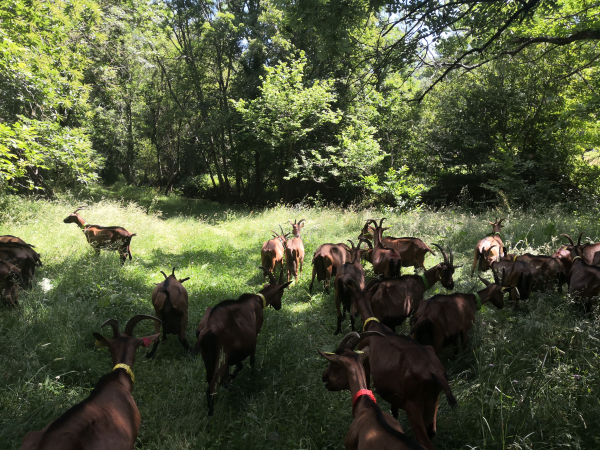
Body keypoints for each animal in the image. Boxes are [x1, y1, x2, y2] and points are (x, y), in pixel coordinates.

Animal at [193, 268, 292, 418]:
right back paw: (210, 418)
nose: (279, 306)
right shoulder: (254, 337)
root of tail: (209, 329)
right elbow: (251, 360)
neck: (257, 300)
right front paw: (252, 375)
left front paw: (232, 378)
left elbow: (238, 367)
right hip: (221, 356)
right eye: (281, 293)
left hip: (208, 358)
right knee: (212, 388)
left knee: (211, 380)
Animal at [341, 280, 457, 450]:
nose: (352, 314)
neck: (373, 325)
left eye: (354, 299)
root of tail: (435, 372)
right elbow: (394, 410)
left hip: (413, 406)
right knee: (432, 431)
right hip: (433, 400)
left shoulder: (366, 366)